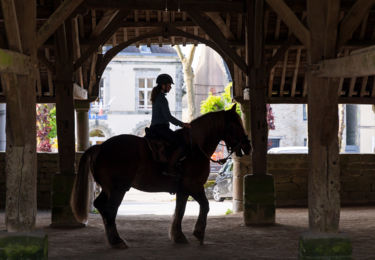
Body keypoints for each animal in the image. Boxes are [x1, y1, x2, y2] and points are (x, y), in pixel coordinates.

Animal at [70, 103, 253, 248]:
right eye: (235, 124)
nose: (247, 146)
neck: (195, 147)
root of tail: (100, 147)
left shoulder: (183, 190)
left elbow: (180, 210)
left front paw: (178, 236)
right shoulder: (194, 186)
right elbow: (205, 206)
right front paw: (198, 232)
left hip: (109, 189)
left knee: (100, 206)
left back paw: (112, 238)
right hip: (118, 189)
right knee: (110, 210)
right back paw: (117, 240)